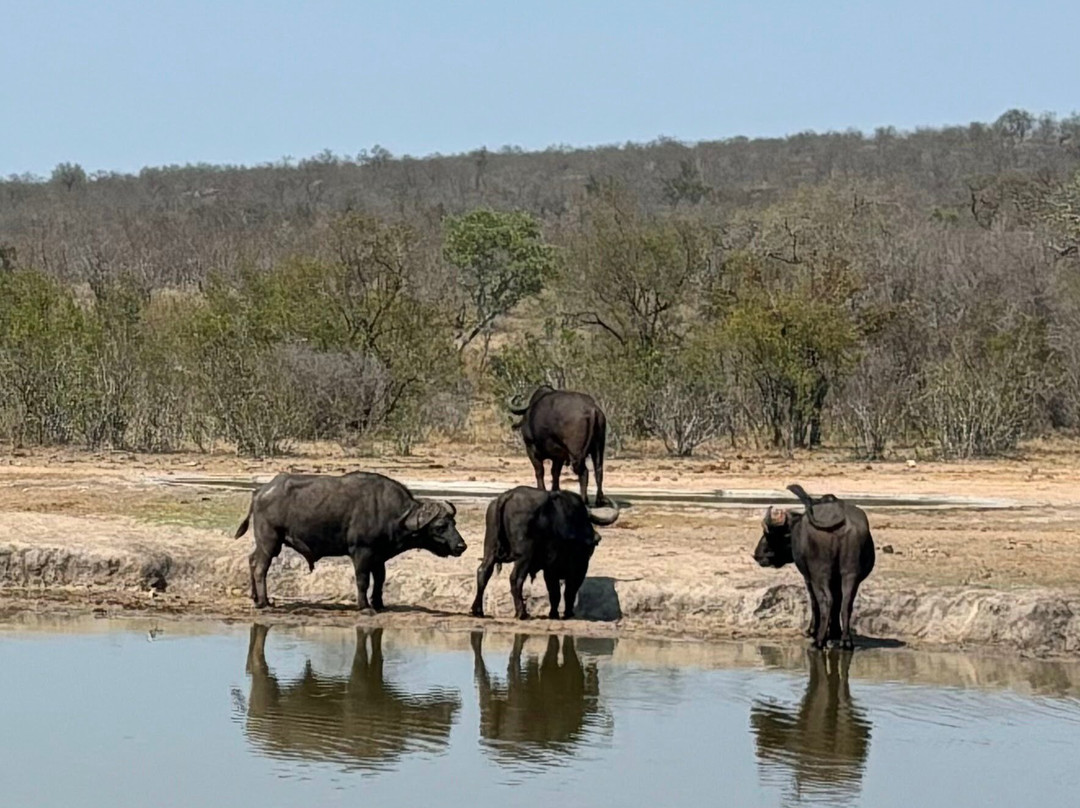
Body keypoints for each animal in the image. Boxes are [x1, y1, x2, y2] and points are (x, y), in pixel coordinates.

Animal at [234, 470, 466, 609]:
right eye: (440, 526)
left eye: (454, 523)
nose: (461, 545)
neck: (392, 514)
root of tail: (260, 491)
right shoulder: (361, 552)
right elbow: (363, 580)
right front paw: (364, 606)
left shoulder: (378, 556)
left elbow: (380, 579)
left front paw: (378, 604)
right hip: (270, 541)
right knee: (260, 568)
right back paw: (264, 602)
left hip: (264, 543)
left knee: (251, 560)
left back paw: (255, 597)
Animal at [238, 626, 462, 769]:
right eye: (443, 723)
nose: (456, 706)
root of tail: (252, 728)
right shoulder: (357, 683)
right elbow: (361, 651)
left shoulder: (376, 680)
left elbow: (378, 653)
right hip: (265, 690)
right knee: (258, 664)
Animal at [470, 486, 622, 617]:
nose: (596, 539)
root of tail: (507, 496)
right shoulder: (578, 568)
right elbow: (569, 591)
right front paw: (568, 613)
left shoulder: (550, 569)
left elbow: (554, 592)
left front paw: (553, 613)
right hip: (524, 556)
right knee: (516, 578)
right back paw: (522, 613)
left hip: (490, 550)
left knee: (483, 572)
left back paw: (477, 610)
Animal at [751, 486, 876, 648]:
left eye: (769, 535)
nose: (757, 555)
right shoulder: (837, 579)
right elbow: (838, 601)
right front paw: (834, 631)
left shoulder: (808, 577)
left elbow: (814, 600)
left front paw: (812, 630)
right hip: (850, 574)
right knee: (846, 603)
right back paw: (845, 640)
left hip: (820, 574)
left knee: (825, 600)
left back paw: (819, 640)